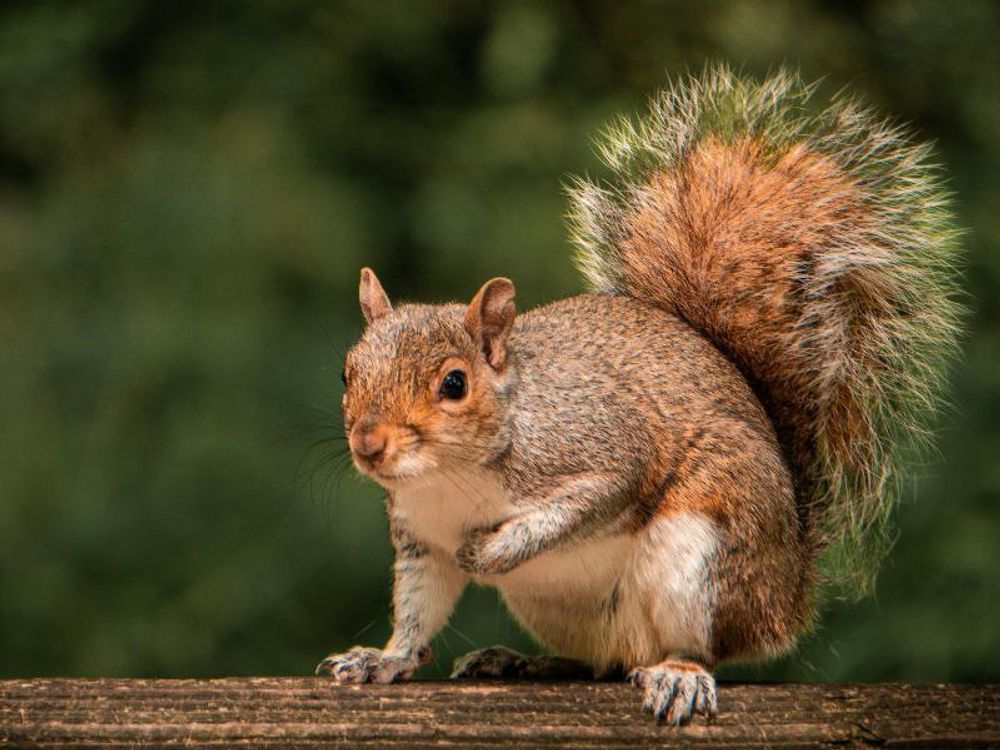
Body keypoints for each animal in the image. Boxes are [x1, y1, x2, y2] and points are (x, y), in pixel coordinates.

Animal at [315, 66, 962, 724]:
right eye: (346, 372)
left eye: (454, 383)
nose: (368, 445)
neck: (450, 477)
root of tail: (789, 590)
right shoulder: (422, 540)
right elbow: (419, 612)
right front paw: (382, 659)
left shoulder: (603, 451)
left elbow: (586, 501)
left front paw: (494, 552)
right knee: (604, 661)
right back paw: (524, 661)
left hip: (699, 557)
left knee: (691, 647)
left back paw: (678, 674)